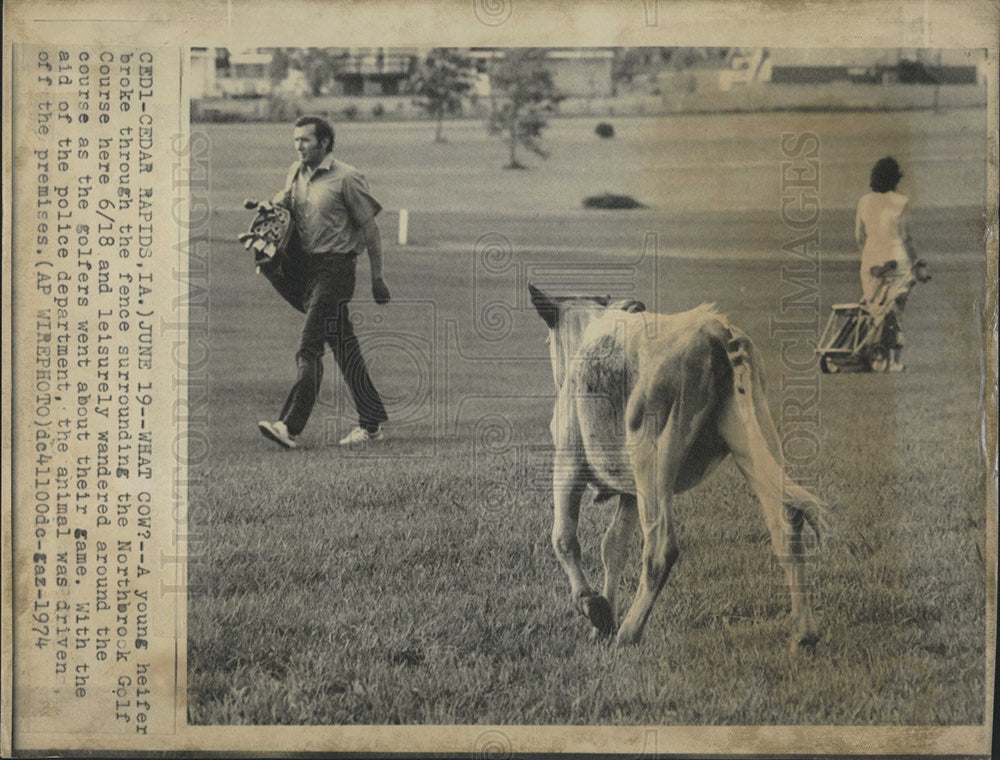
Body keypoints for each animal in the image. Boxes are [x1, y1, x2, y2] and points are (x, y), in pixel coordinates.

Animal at [528, 282, 824, 652]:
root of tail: (715, 329)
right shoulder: (630, 490)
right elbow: (613, 546)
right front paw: (604, 618)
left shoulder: (568, 460)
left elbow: (564, 538)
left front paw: (593, 606)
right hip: (753, 438)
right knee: (786, 524)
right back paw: (804, 632)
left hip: (652, 458)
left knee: (660, 548)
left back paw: (629, 632)